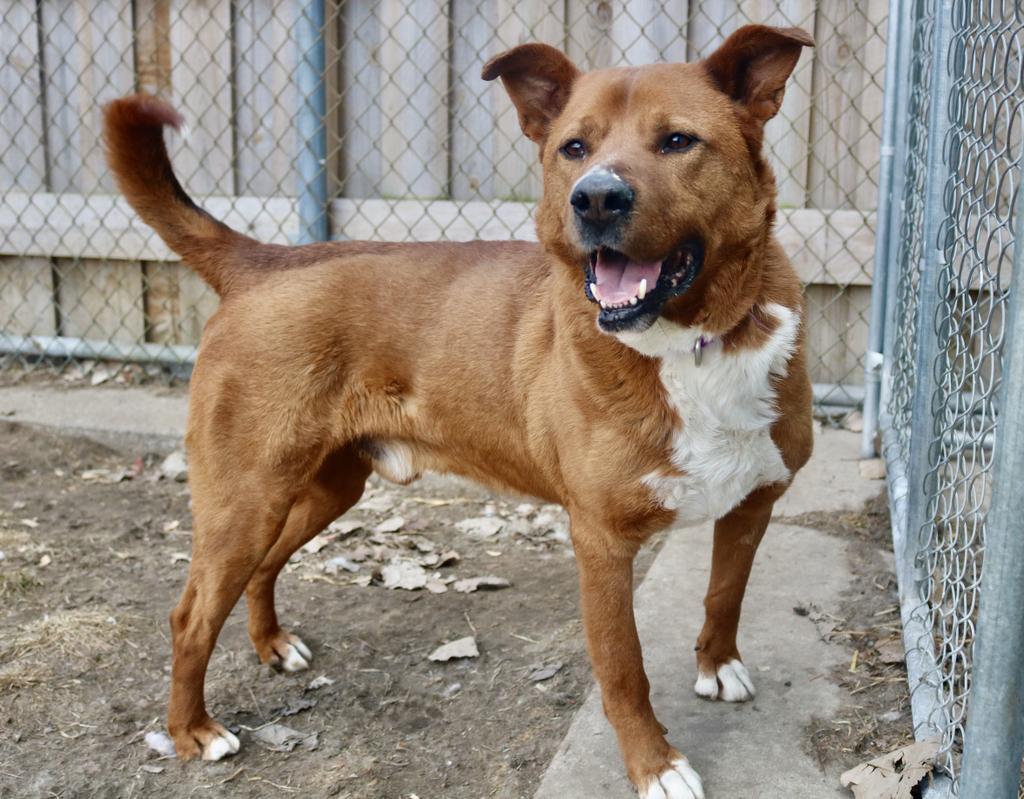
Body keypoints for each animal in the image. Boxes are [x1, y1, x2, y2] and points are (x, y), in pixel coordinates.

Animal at [101, 24, 806, 799]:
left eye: (678, 141)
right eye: (574, 148)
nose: (594, 200)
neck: (692, 345)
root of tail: (266, 260)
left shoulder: (755, 502)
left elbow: (724, 596)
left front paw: (716, 664)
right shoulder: (602, 541)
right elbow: (625, 671)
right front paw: (655, 765)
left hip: (322, 489)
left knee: (263, 567)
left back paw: (271, 645)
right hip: (245, 498)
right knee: (190, 616)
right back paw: (192, 731)